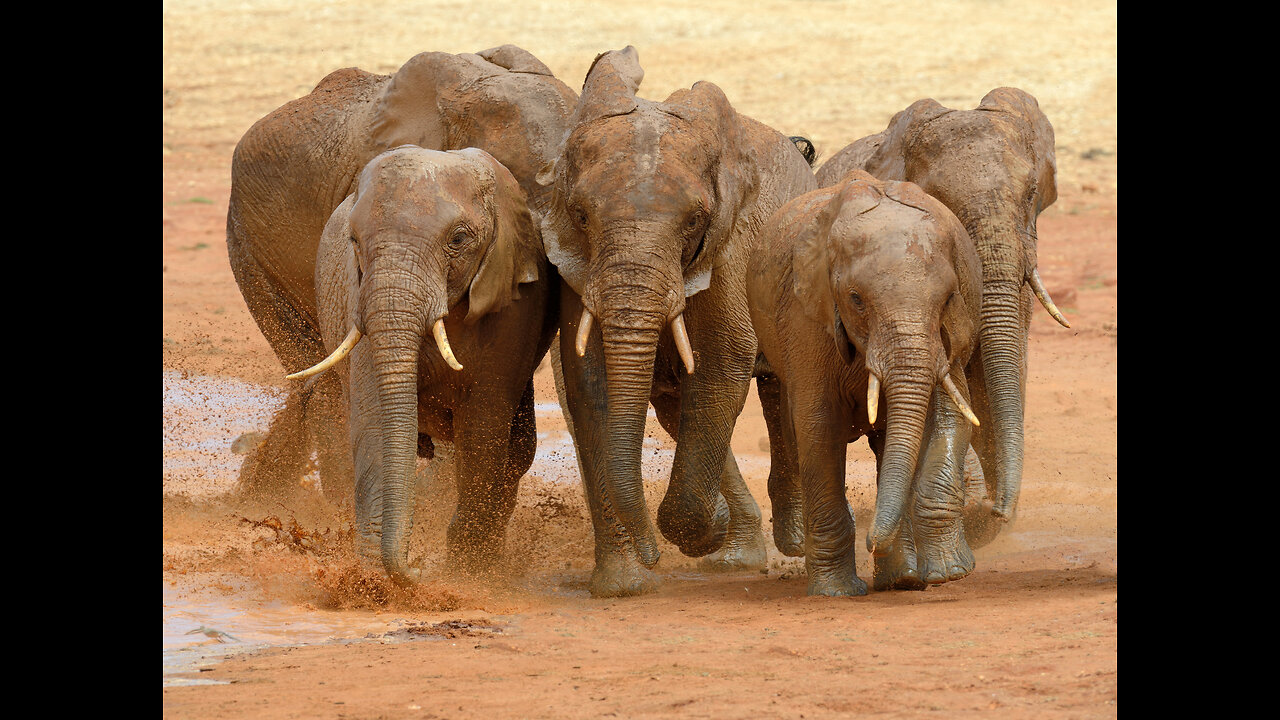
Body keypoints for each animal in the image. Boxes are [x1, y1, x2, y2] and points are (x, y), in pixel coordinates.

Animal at [293, 142, 558, 579]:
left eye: (458, 239)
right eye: (354, 240)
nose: (418, 570)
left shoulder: (514, 305)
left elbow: (484, 428)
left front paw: (467, 573)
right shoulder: (358, 300)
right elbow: (374, 421)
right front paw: (371, 582)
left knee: (517, 451)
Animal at [540, 46, 819, 594]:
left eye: (695, 220)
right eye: (581, 216)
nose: (651, 558)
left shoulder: (731, 245)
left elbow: (723, 361)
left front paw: (702, 527)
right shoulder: (575, 265)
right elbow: (588, 378)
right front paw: (626, 585)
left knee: (781, 388)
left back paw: (793, 540)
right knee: (676, 408)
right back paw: (735, 554)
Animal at [747, 169, 983, 594]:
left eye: (948, 298)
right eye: (856, 299)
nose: (872, 541)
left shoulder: (950, 332)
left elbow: (951, 415)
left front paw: (949, 573)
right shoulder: (806, 317)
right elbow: (818, 426)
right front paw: (836, 592)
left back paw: (903, 577)